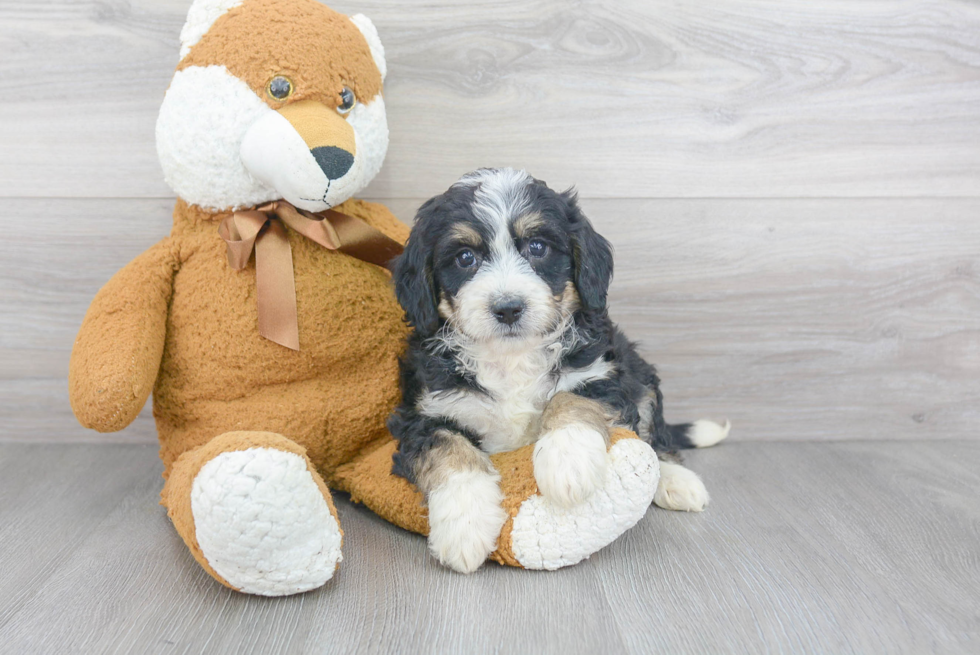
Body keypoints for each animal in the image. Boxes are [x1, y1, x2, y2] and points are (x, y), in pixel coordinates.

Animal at [386, 169, 732, 576]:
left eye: (538, 247)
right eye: (465, 257)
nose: (508, 308)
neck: (512, 357)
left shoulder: (601, 372)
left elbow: (569, 397)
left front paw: (568, 462)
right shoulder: (425, 413)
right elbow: (450, 449)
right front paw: (464, 527)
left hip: (638, 370)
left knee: (654, 435)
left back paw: (676, 482)